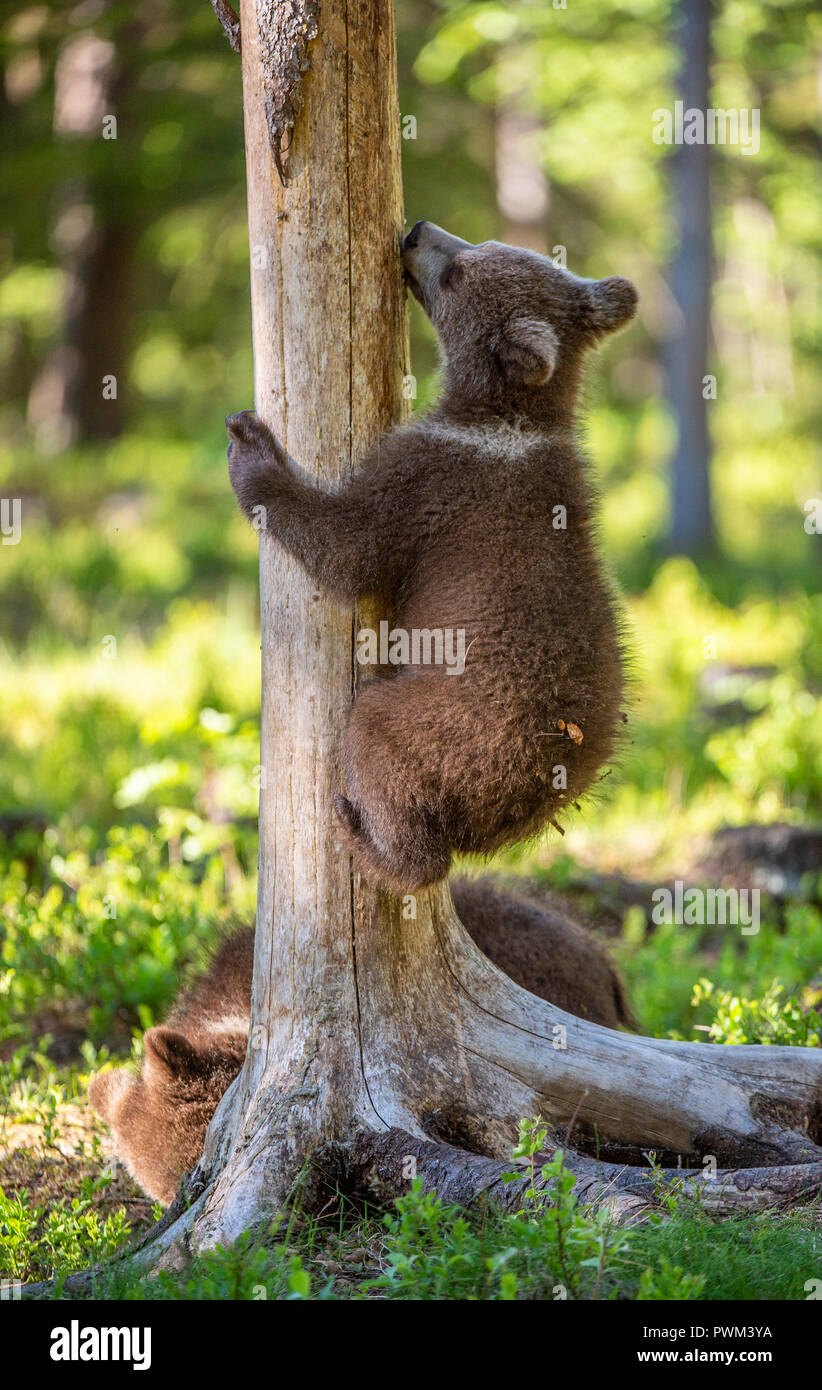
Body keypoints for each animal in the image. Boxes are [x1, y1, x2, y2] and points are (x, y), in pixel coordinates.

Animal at [226, 222, 637, 893]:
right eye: (482, 244)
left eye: (459, 272)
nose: (418, 232)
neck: (504, 415)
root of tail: (520, 801)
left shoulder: (429, 483)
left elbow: (348, 546)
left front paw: (251, 448)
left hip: (448, 729)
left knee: (375, 741)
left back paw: (368, 838)